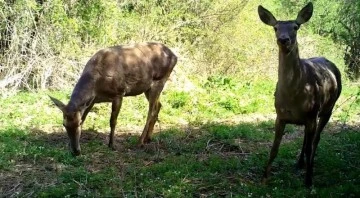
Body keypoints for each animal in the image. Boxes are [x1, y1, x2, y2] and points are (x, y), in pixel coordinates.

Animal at [49, 42, 177, 156]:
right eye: (64, 124)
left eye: (78, 123)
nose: (75, 151)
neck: (97, 84)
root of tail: (175, 56)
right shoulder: (92, 101)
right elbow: (85, 116)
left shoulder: (119, 93)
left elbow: (112, 121)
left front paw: (111, 144)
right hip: (148, 88)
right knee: (158, 105)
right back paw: (148, 138)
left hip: (160, 80)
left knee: (150, 112)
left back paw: (140, 141)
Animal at [258, 2, 342, 186]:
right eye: (275, 27)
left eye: (295, 27)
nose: (283, 39)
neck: (293, 96)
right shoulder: (280, 115)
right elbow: (274, 148)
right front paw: (264, 177)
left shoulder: (312, 113)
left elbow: (311, 145)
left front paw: (309, 180)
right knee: (306, 138)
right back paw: (300, 163)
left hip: (328, 108)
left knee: (316, 139)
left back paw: (309, 165)